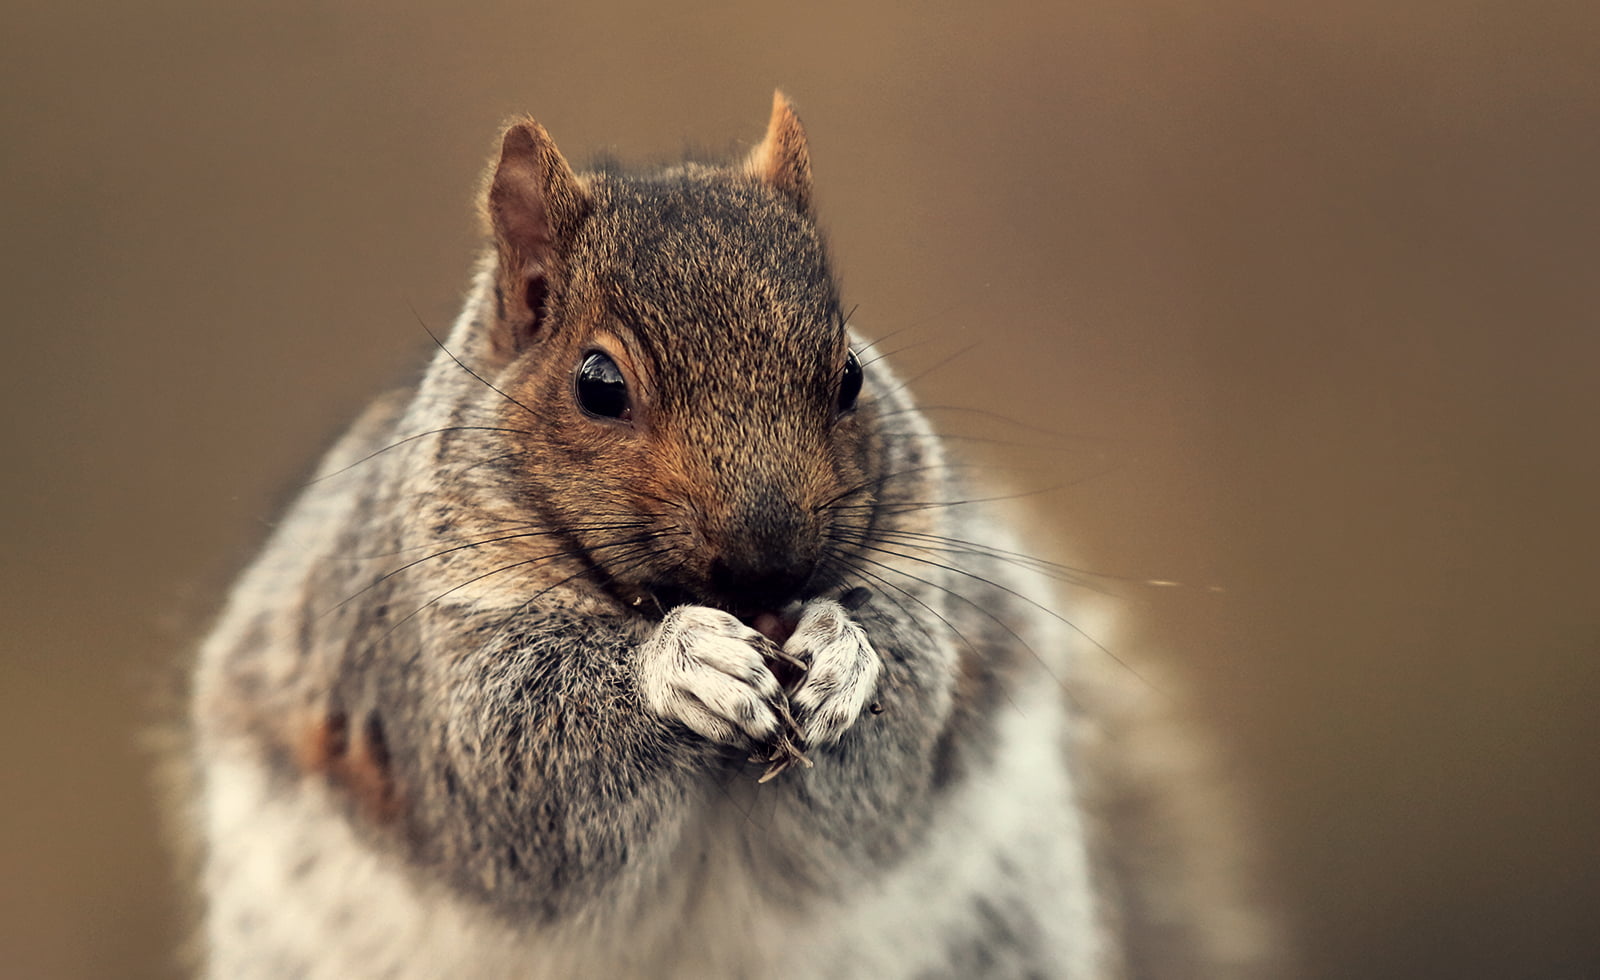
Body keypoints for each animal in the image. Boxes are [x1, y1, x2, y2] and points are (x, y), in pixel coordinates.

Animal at [189, 92, 1273, 978]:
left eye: (851, 373)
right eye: (597, 383)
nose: (769, 560)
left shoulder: (924, 575)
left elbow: (897, 744)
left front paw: (845, 657)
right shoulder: (414, 652)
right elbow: (515, 769)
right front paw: (685, 666)